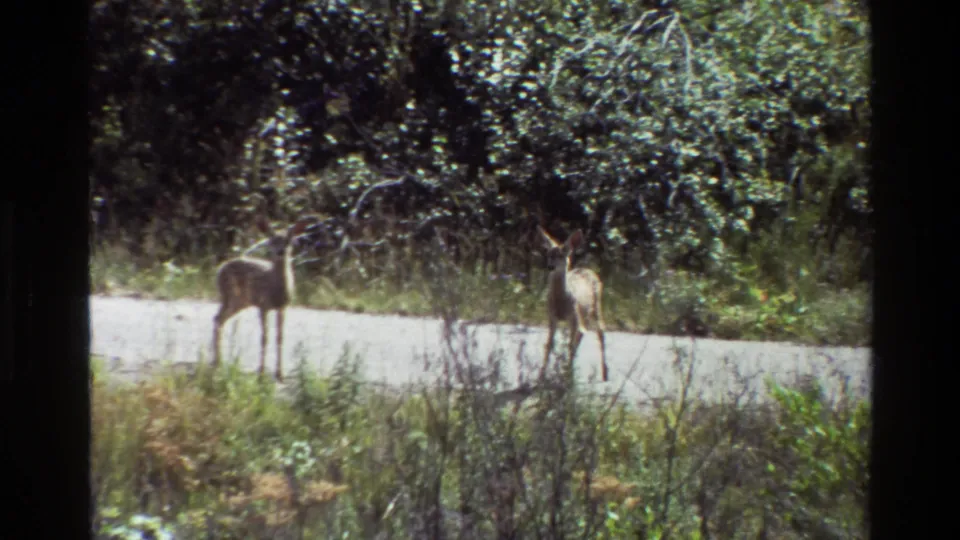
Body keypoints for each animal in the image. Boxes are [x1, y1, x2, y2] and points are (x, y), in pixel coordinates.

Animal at [211, 215, 315, 381]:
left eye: (288, 240)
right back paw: (217, 362)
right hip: (229, 296)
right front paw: (261, 372)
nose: (280, 251)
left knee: (218, 318)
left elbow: (280, 336)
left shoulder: (283, 307)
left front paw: (280, 374)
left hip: (240, 302)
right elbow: (264, 337)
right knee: (218, 318)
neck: (277, 289)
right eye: (272, 240)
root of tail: (220, 268)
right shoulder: (263, 305)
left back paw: (218, 360)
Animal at [538, 226, 609, 382]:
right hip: (583, 314)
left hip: (596, 306)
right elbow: (549, 344)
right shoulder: (551, 317)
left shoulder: (573, 316)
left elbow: (570, 345)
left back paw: (604, 374)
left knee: (600, 331)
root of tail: (588, 270)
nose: (550, 266)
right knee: (583, 333)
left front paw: (567, 379)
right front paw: (540, 376)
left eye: (562, 254)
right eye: (549, 254)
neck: (561, 300)